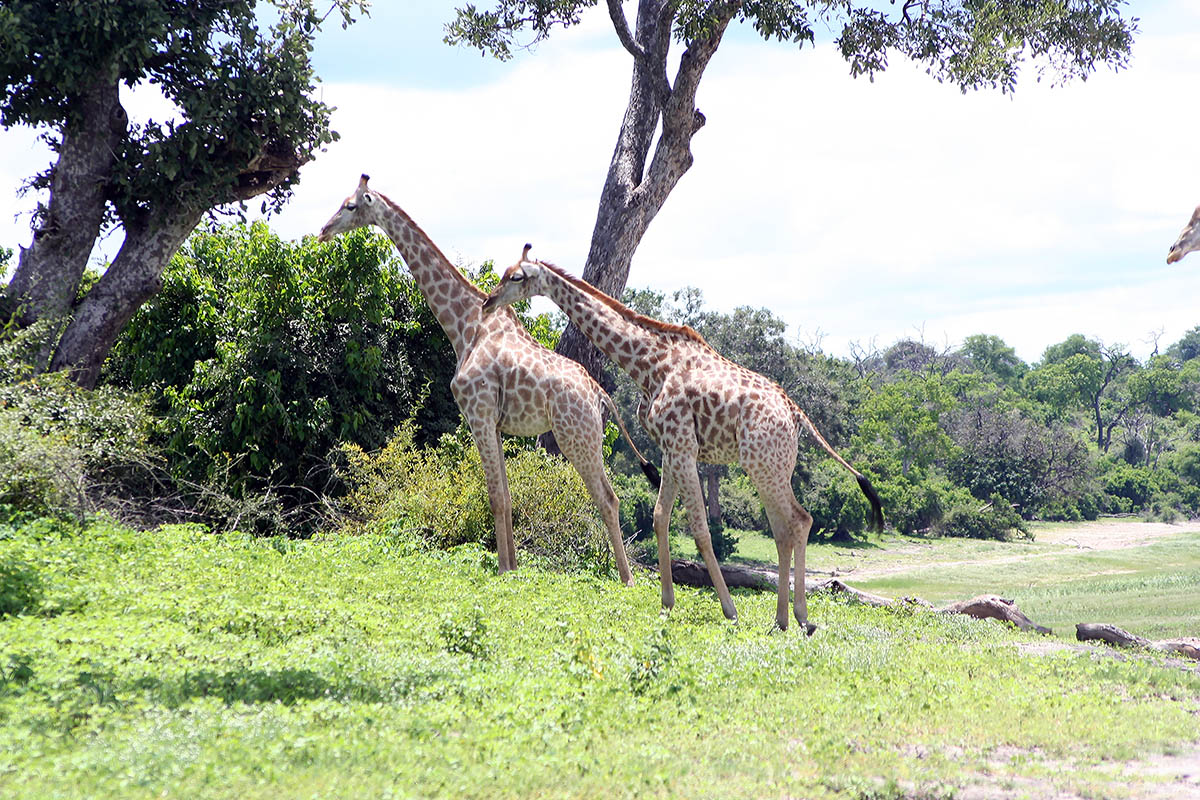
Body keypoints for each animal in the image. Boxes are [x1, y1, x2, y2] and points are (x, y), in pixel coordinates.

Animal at [319, 178, 657, 585]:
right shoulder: (494, 422)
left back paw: (627, 579)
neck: (465, 326)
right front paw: (512, 568)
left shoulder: (477, 413)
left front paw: (502, 568)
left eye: (350, 206)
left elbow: (494, 496)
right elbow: (507, 497)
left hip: (576, 435)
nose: (323, 230)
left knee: (608, 497)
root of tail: (601, 394)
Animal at [482, 245, 888, 633]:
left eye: (516, 277)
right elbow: (661, 517)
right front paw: (666, 604)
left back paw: (800, 617)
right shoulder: (669, 446)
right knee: (786, 528)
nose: (488, 301)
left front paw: (729, 611)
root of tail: (796, 414)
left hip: (764, 465)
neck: (649, 365)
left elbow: (700, 528)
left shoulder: (683, 445)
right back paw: (784, 620)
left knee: (799, 521)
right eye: (503, 273)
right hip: (770, 467)